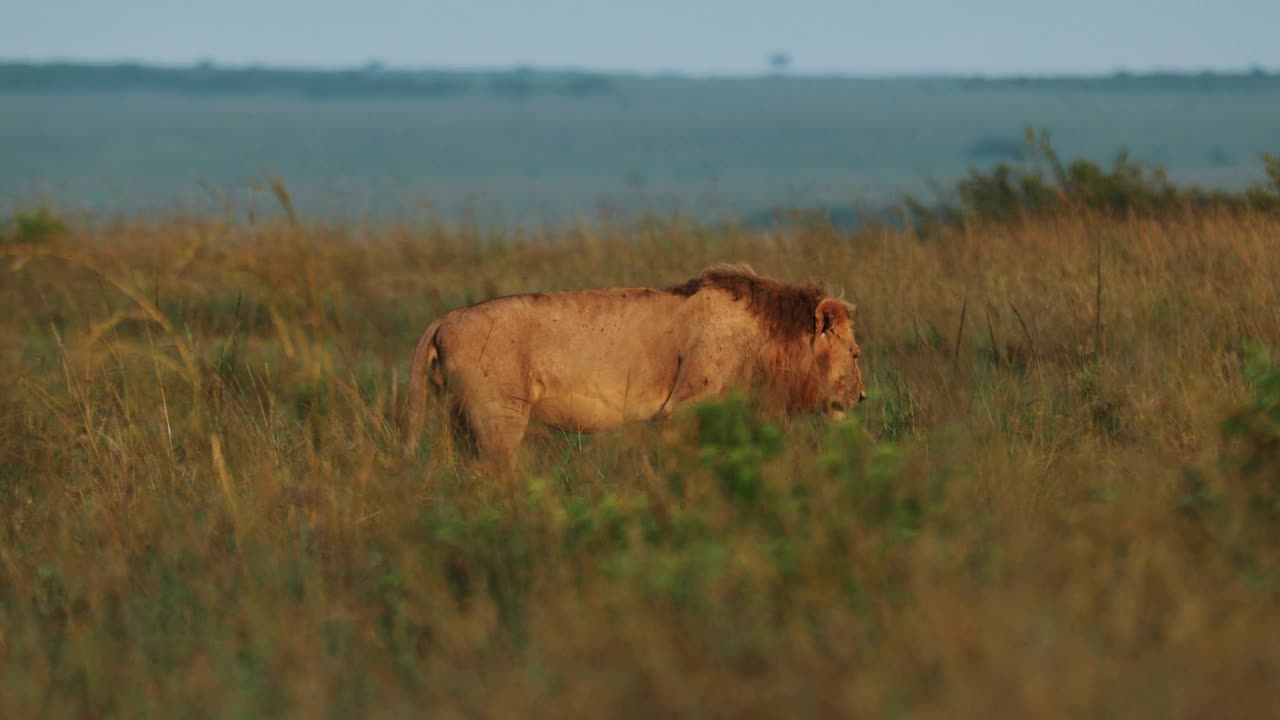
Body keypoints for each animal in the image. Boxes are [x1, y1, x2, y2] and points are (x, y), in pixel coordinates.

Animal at [404, 263, 865, 471]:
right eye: (857, 355)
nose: (861, 397)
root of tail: (445, 318)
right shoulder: (684, 408)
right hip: (499, 419)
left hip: (463, 420)